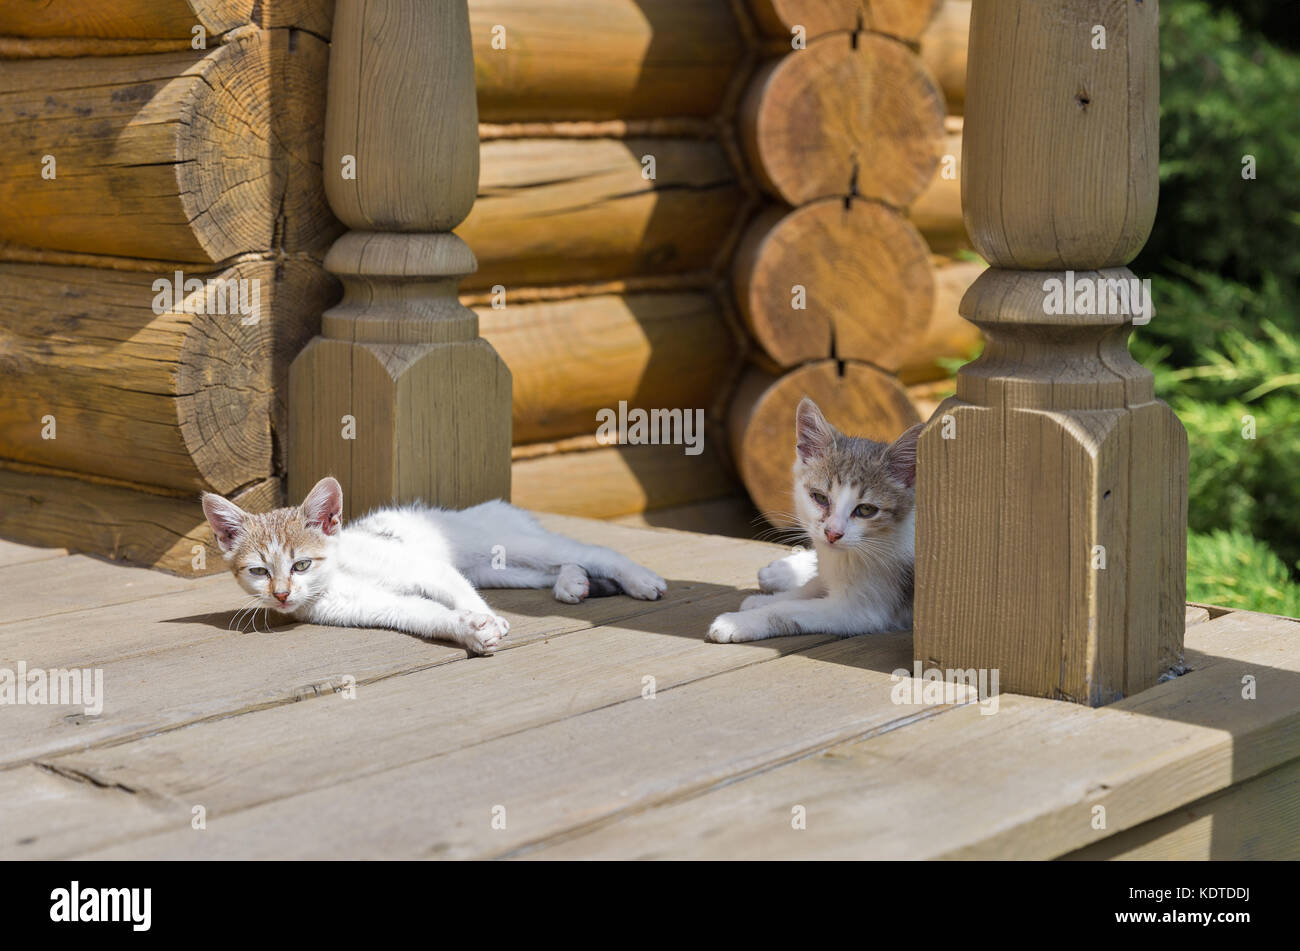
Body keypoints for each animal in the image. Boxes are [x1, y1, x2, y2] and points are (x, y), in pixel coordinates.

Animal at [205, 478, 670, 657]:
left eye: (301, 564)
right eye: (259, 572)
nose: (282, 595)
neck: (339, 573)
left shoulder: (423, 567)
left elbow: (455, 591)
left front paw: (486, 619)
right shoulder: (372, 606)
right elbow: (426, 614)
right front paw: (470, 629)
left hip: (507, 544)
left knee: (592, 549)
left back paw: (640, 579)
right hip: (498, 569)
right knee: (560, 564)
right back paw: (573, 582)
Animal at [707, 397, 920, 641]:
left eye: (866, 510)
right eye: (820, 498)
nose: (833, 533)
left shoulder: (863, 609)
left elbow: (790, 609)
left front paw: (739, 622)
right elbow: (811, 586)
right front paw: (764, 601)